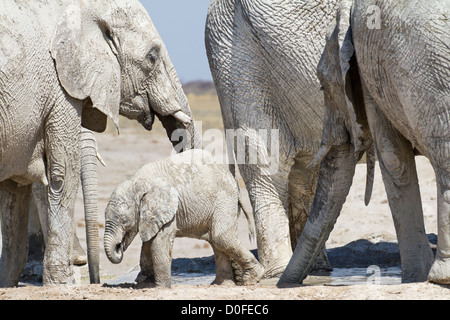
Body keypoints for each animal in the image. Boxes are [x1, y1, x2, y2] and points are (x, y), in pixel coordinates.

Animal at [0, 0, 197, 286]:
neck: (84, 7)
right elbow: (62, 173)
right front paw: (62, 284)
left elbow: (14, 190)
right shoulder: (59, 86)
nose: (97, 281)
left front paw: (7, 283)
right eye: (152, 57)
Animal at [104, 150, 264, 288]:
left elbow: (158, 243)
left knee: (221, 237)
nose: (119, 246)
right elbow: (148, 244)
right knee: (216, 241)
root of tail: (233, 181)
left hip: (224, 200)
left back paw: (251, 278)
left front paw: (161, 288)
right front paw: (145, 283)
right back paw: (220, 284)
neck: (136, 182)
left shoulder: (168, 210)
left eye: (124, 221)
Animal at [282, 0, 450, 284]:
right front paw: (416, 278)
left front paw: (414, 278)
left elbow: (393, 159)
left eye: (323, 86)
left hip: (430, 67)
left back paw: (441, 277)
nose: (279, 284)